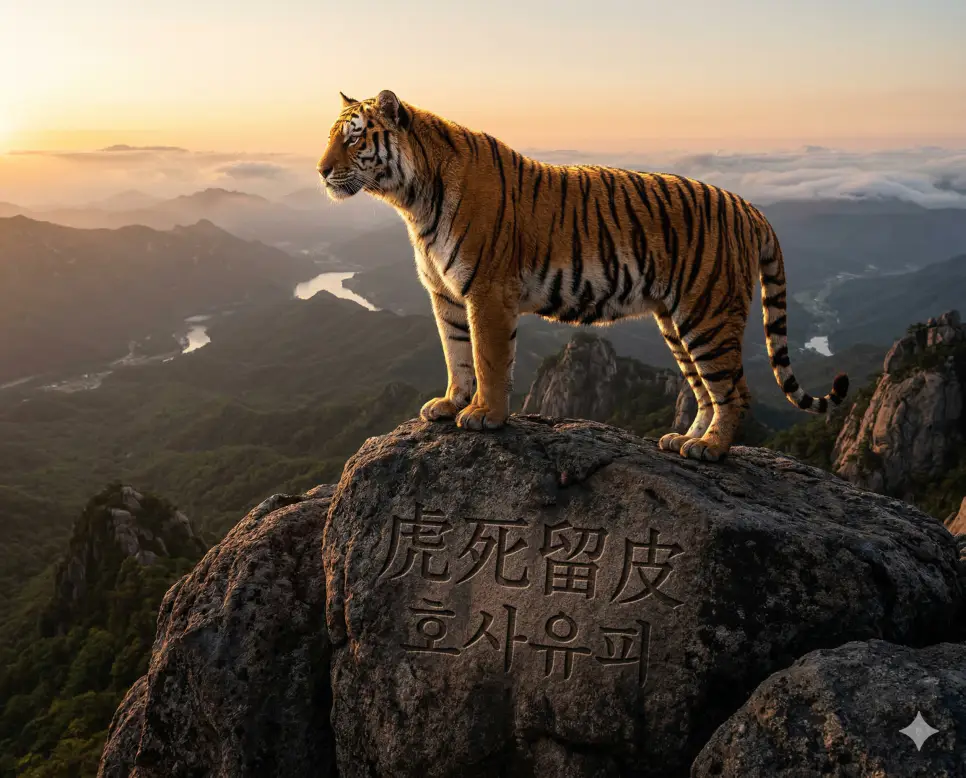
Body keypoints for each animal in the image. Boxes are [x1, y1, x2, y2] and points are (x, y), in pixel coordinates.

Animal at [317, 90, 849, 461]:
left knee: (734, 390)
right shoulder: (444, 296)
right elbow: (457, 355)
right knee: (702, 389)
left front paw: (485, 415)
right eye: (329, 138)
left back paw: (710, 449)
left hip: (708, 314)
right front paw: (450, 404)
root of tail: (748, 207)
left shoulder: (486, 293)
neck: (411, 200)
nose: (320, 172)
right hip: (677, 323)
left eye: (354, 137)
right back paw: (682, 439)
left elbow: (488, 359)